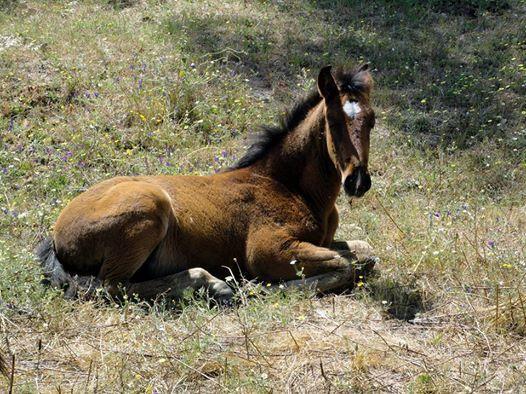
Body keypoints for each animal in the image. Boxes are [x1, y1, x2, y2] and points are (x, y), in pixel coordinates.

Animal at [37, 64, 378, 302]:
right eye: (332, 121)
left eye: (372, 120)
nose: (358, 181)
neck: (289, 186)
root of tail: (56, 234)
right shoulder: (268, 250)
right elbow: (344, 264)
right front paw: (264, 288)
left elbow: (366, 253)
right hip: (148, 209)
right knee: (111, 287)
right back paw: (214, 285)